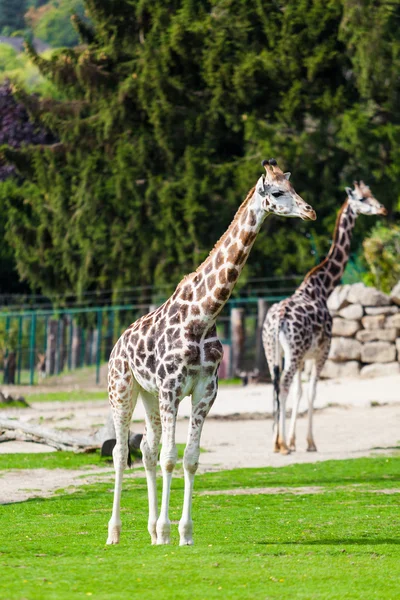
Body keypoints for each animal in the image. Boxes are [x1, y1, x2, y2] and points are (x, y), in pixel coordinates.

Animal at [105, 157, 316, 548]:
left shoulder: (205, 389)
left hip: (149, 395)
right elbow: (171, 457)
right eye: (277, 192)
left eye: (294, 188)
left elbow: (189, 458)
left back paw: (150, 530)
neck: (205, 314)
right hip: (122, 389)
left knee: (146, 450)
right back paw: (115, 533)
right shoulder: (172, 388)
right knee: (120, 451)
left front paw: (182, 534)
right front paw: (167, 531)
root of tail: (117, 344)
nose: (309, 211)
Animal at [262, 180, 388, 452]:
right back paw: (281, 445)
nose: (382, 208)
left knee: (276, 385)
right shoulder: (322, 351)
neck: (321, 287)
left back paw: (277, 442)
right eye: (362, 198)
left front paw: (293, 440)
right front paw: (308, 443)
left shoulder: (304, 357)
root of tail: (277, 321)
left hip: (273, 352)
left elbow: (299, 392)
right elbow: (311, 392)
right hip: (294, 352)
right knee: (283, 385)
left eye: (372, 194)